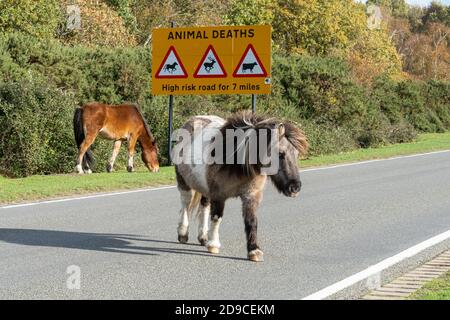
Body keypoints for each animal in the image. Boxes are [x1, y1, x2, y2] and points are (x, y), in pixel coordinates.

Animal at [172, 111, 310, 262]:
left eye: (296, 154)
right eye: (281, 154)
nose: (295, 187)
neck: (238, 162)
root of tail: (191, 121)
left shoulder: (251, 195)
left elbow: (251, 221)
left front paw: (254, 250)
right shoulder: (218, 196)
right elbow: (216, 218)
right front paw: (214, 245)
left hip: (205, 188)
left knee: (204, 207)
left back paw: (203, 237)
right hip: (184, 183)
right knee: (185, 205)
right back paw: (183, 234)